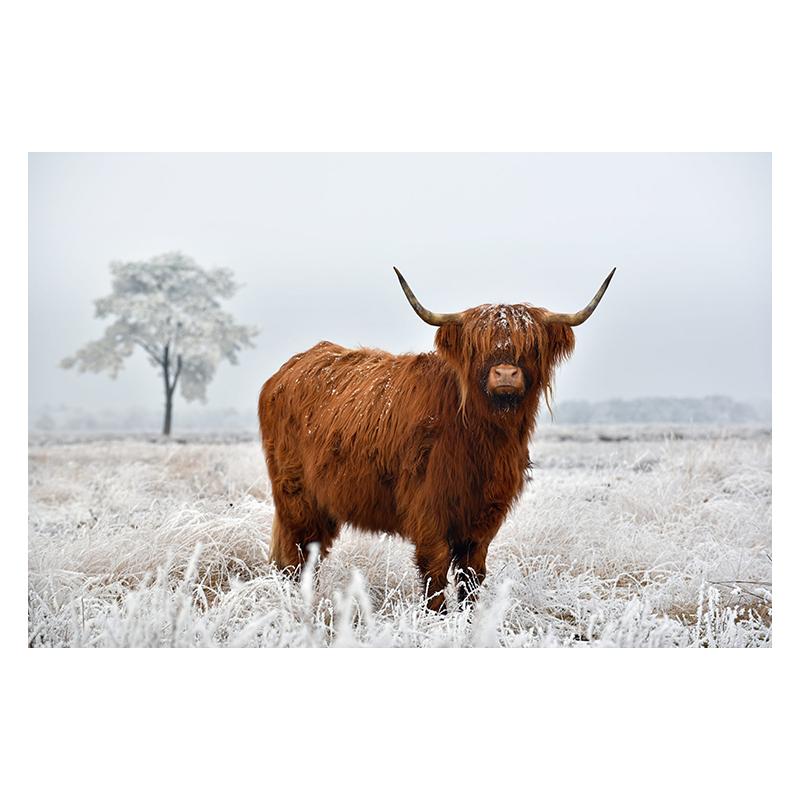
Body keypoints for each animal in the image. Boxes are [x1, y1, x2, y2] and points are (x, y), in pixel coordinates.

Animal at [258, 267, 615, 611]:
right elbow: (435, 571)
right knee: (297, 556)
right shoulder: (428, 510)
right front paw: (438, 619)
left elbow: (472, 575)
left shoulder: (484, 517)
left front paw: (470, 618)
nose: (505, 374)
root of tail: (287, 370)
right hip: (296, 498)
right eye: (477, 346)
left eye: (530, 346)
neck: (483, 439)